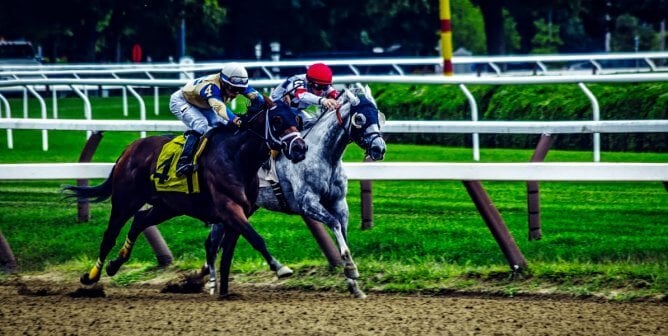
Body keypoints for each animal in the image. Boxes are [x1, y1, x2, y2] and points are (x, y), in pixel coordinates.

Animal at [61, 98, 306, 288]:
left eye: (297, 120)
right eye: (277, 120)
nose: (300, 148)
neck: (237, 157)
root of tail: (128, 150)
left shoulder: (241, 211)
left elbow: (228, 250)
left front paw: (222, 289)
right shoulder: (229, 208)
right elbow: (256, 238)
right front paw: (280, 267)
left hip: (168, 206)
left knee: (140, 221)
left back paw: (114, 265)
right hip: (125, 201)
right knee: (110, 236)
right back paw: (91, 276)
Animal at [206, 85, 388, 298]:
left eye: (378, 115)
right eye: (359, 118)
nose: (378, 148)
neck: (323, 156)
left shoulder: (338, 202)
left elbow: (342, 231)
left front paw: (354, 284)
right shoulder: (308, 203)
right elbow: (334, 223)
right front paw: (350, 267)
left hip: (245, 209)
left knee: (223, 243)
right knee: (212, 244)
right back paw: (210, 284)